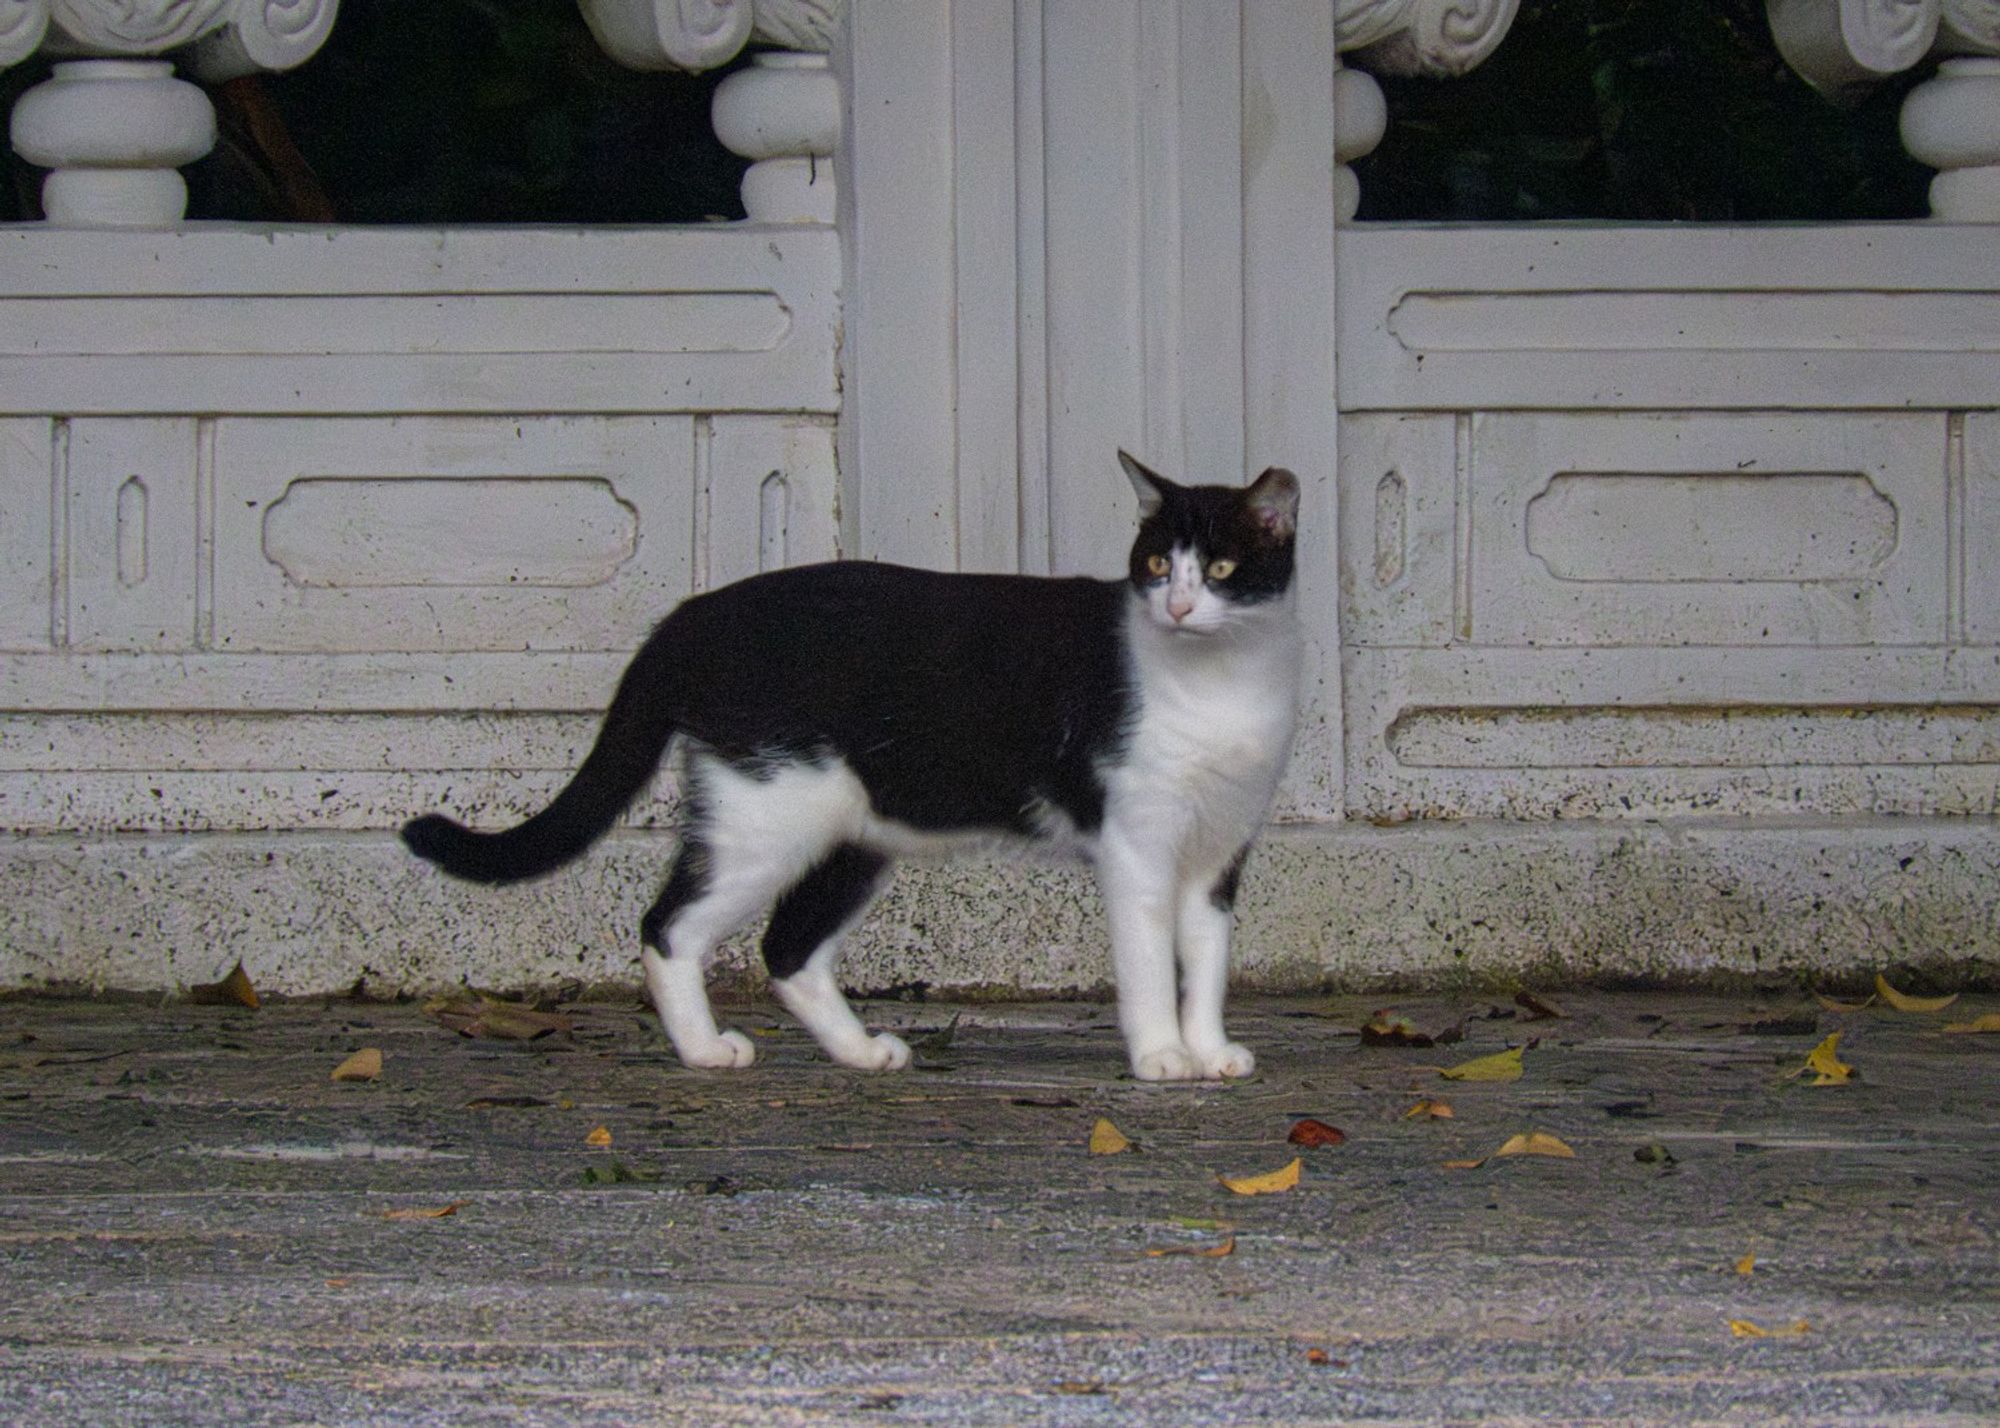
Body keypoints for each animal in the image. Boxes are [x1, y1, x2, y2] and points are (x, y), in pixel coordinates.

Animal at [408, 456, 1312, 1080]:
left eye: (1221, 569)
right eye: (1157, 566)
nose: (1180, 607)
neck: (1219, 682)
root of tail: (694, 612)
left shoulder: (1220, 850)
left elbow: (1208, 958)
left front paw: (1211, 1049)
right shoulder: (1138, 846)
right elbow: (1152, 960)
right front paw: (1162, 1056)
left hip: (853, 835)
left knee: (787, 948)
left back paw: (858, 1052)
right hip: (764, 818)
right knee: (669, 928)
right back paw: (705, 1051)